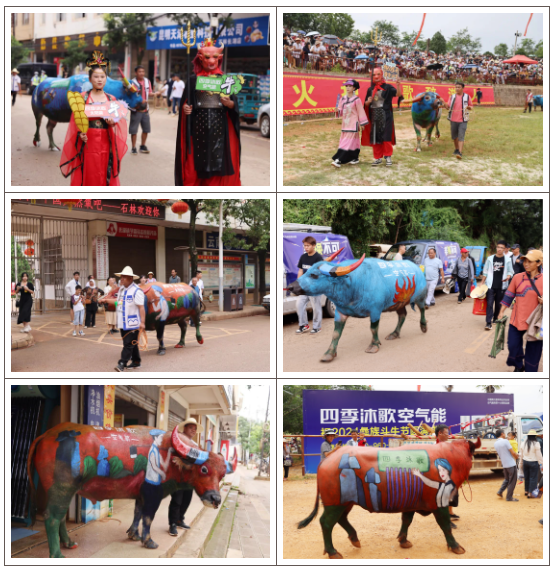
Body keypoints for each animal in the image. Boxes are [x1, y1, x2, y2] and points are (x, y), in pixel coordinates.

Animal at [26, 422, 235, 556]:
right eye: (204, 469)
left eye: (222, 474)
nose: (215, 499)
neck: (170, 455)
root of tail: (46, 435)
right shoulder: (153, 493)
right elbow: (148, 517)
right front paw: (148, 541)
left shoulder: (140, 494)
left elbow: (137, 513)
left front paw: (134, 535)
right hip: (61, 489)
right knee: (52, 517)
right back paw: (57, 554)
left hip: (64, 492)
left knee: (60, 517)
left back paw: (69, 544)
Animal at [288, 251, 428, 366]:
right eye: (306, 271)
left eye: (314, 275)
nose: (290, 287)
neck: (354, 284)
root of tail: (417, 268)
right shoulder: (340, 312)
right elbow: (336, 334)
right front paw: (329, 353)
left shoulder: (375, 311)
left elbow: (373, 329)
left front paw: (374, 345)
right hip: (399, 302)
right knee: (402, 315)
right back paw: (394, 334)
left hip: (420, 297)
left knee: (422, 310)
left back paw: (423, 327)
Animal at [298, 438, 480, 560]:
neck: (448, 457)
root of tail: (329, 458)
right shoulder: (439, 503)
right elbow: (445, 525)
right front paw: (455, 546)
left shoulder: (410, 503)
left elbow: (406, 520)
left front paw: (403, 540)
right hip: (335, 503)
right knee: (327, 523)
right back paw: (332, 551)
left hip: (346, 502)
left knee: (341, 519)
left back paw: (355, 539)